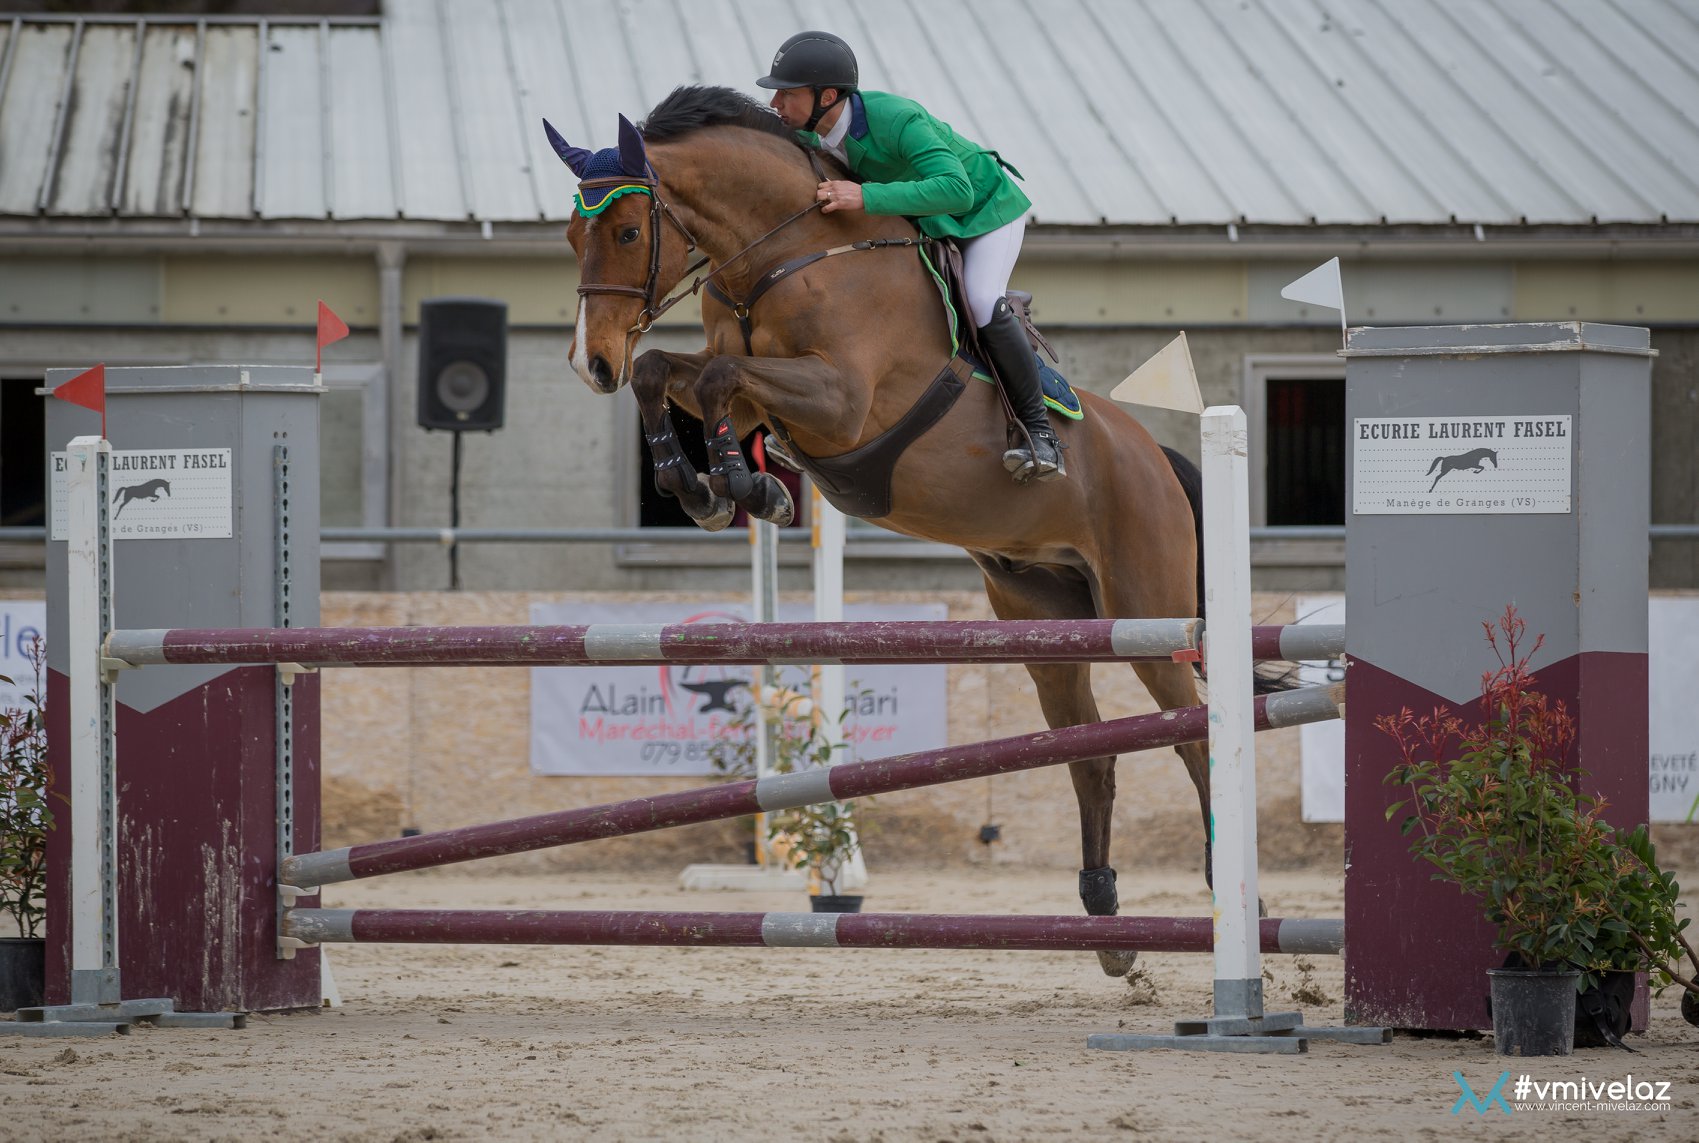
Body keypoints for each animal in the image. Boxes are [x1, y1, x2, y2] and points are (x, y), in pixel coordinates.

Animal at [557, 87, 1223, 971]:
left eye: (629, 233)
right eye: (572, 236)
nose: (589, 362)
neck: (782, 254)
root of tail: (1156, 456)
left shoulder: (838, 401)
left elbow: (723, 375)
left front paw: (735, 481)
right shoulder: (753, 384)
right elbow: (670, 371)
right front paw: (706, 484)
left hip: (1146, 609)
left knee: (1193, 738)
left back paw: (1222, 887)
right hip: (1048, 620)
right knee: (1090, 754)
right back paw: (1106, 918)